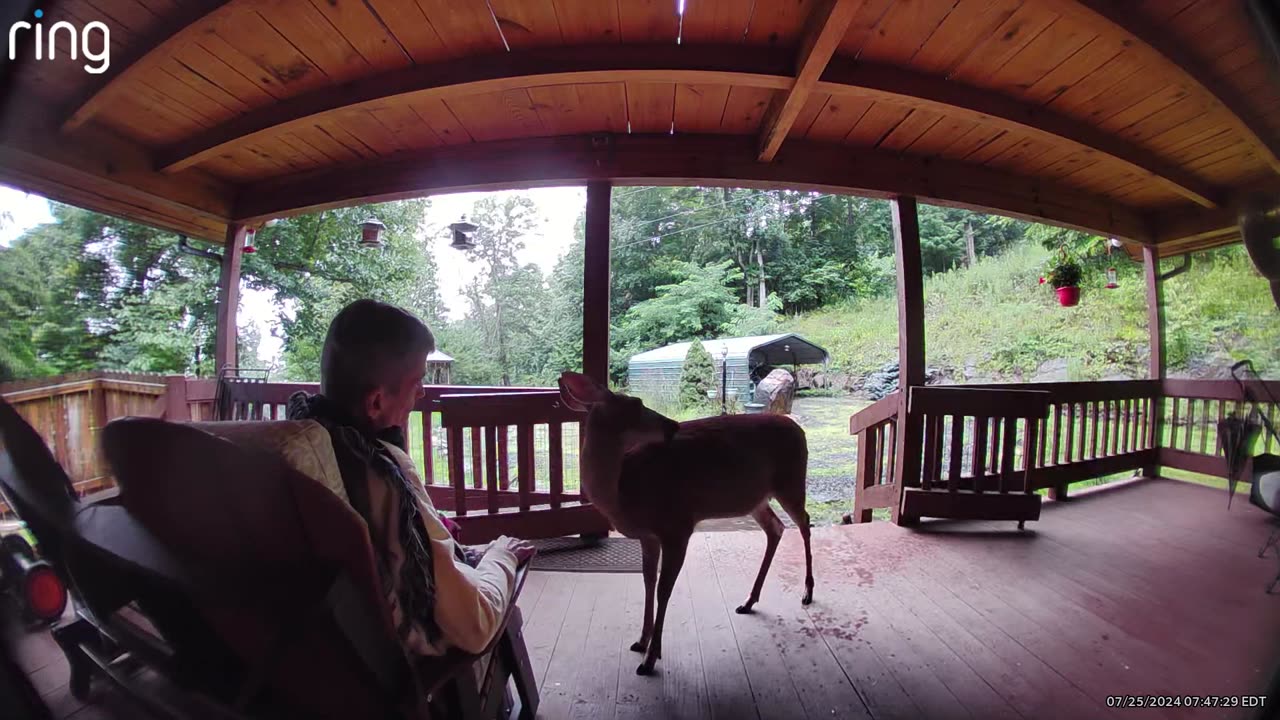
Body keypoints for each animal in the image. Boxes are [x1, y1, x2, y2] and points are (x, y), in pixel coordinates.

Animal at [558, 368, 814, 671]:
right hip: (756, 499)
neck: (623, 494)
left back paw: (807, 593)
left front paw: (651, 658)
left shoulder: (678, 526)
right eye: (636, 403)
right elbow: (648, 582)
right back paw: (749, 600)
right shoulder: (648, 536)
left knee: (804, 522)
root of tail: (798, 429)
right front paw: (640, 641)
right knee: (776, 528)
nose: (672, 425)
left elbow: (664, 589)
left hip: (791, 481)